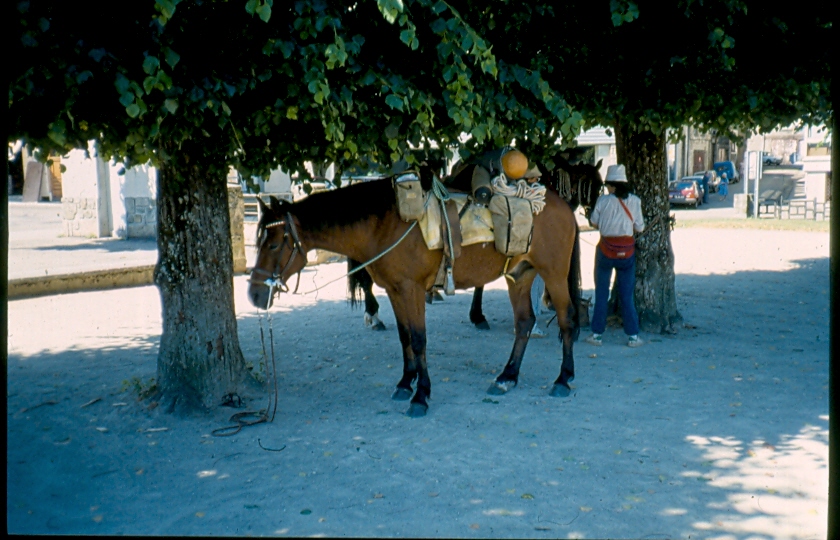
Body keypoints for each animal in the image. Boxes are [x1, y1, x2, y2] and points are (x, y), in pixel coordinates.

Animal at [246, 175, 580, 416]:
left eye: (273, 244)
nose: (253, 294)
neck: (384, 225)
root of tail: (563, 206)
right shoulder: (394, 291)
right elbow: (404, 337)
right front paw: (406, 383)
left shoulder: (412, 289)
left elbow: (419, 339)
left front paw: (421, 395)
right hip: (519, 276)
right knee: (524, 323)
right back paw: (507, 377)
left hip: (553, 274)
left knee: (566, 321)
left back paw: (563, 379)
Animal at [348, 156, 604, 332]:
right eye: (591, 185)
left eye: (600, 185)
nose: (593, 216)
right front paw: (478, 315)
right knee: (366, 279)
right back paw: (373, 315)